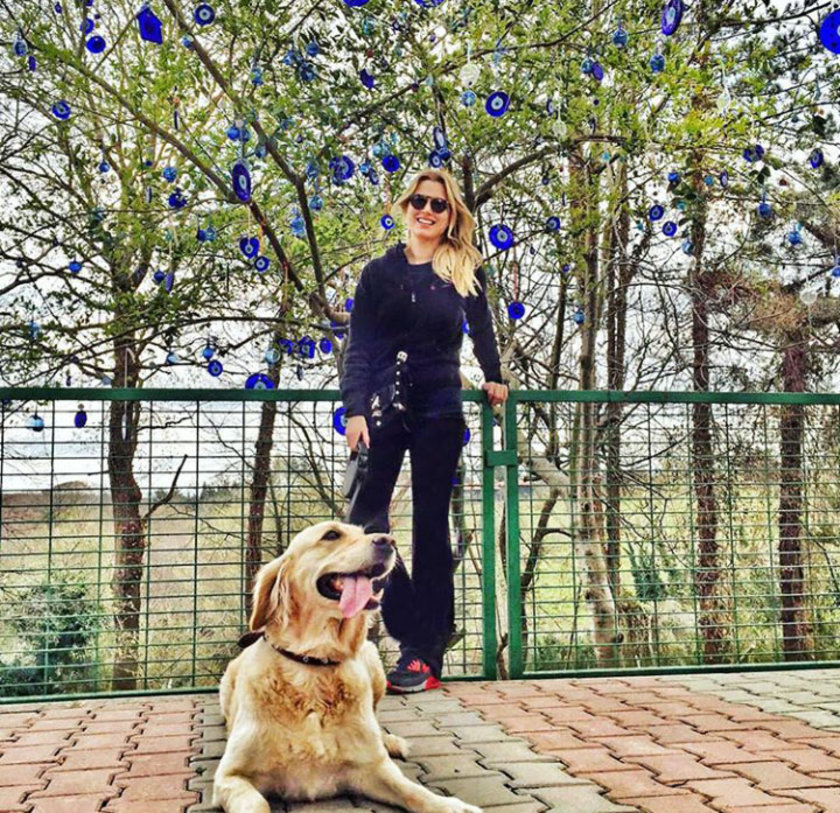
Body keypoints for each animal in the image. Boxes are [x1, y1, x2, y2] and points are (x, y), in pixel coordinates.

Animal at [213, 520, 482, 813]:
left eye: (363, 533)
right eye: (331, 535)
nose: (389, 541)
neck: (313, 665)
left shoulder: (373, 769)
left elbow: (415, 792)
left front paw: (450, 805)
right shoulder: (230, 776)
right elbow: (255, 803)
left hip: (373, 663)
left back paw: (389, 741)